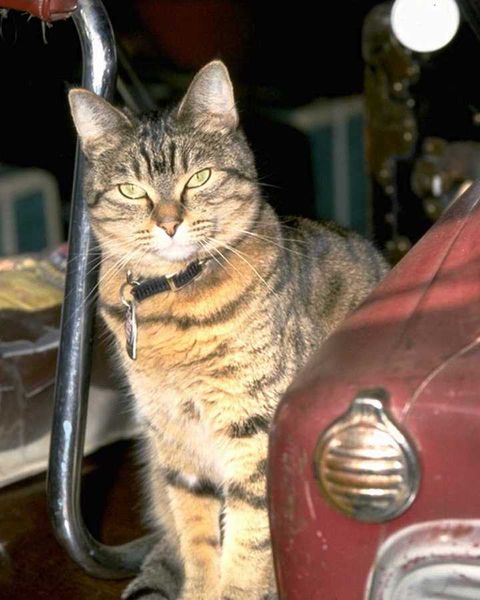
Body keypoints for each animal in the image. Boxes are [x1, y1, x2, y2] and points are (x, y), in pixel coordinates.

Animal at [69, 60, 388, 600]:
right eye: (131, 190)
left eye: (199, 178)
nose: (169, 224)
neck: (173, 305)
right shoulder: (176, 443)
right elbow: (199, 542)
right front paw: (199, 588)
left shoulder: (254, 430)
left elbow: (247, 548)